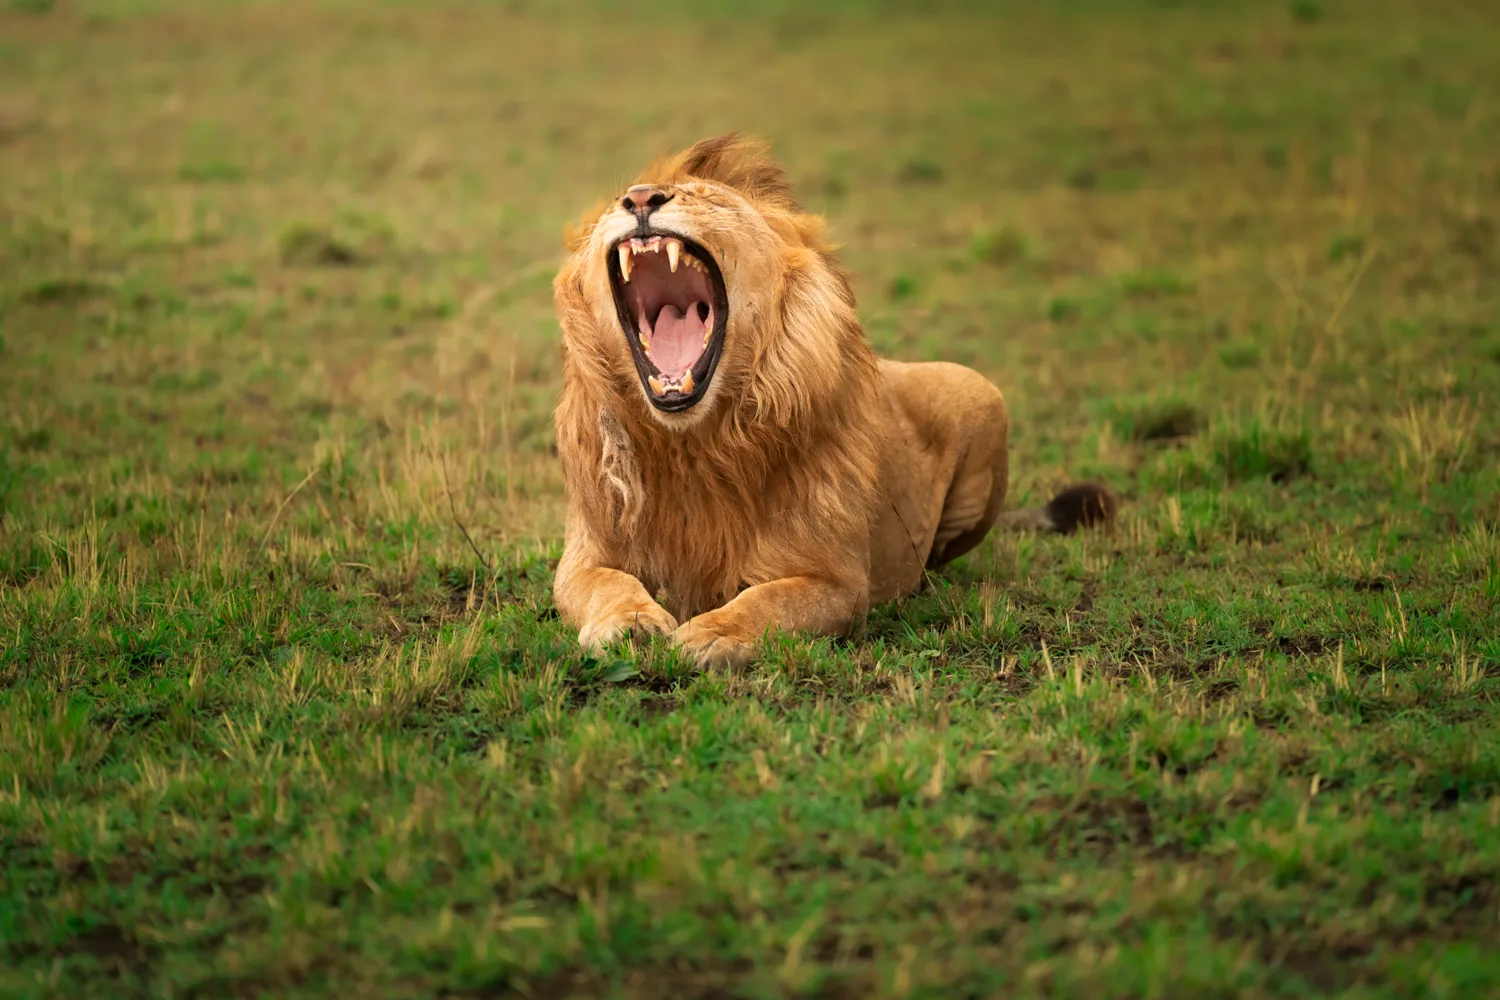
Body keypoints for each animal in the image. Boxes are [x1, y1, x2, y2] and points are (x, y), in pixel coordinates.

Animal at [551, 134, 1113, 668]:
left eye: (711, 199)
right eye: (616, 201)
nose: (641, 199)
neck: (692, 443)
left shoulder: (838, 582)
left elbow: (769, 601)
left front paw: (713, 633)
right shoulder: (584, 556)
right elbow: (606, 583)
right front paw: (631, 622)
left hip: (981, 398)